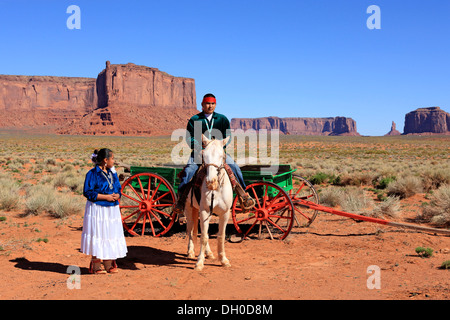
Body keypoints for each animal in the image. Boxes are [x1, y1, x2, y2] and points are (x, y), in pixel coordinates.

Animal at [185, 134, 234, 272]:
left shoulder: (225, 213)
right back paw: (190, 252)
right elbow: (203, 237)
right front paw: (199, 262)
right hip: (189, 208)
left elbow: (220, 236)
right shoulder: (204, 211)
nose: (211, 182)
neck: (216, 190)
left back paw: (209, 253)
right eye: (203, 155)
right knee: (190, 228)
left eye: (221, 155)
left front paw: (223, 260)